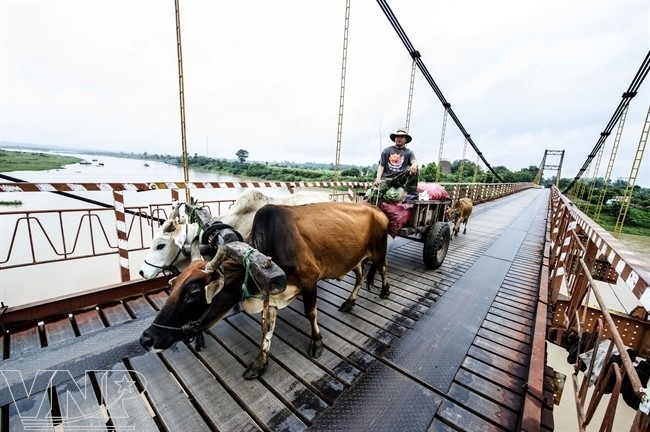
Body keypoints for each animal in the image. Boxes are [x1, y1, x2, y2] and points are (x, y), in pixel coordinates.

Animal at [139, 202, 388, 378]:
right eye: (173, 286)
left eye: (192, 294)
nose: (147, 339)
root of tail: (375, 208)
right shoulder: (273, 294)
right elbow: (267, 327)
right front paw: (260, 362)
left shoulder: (310, 281)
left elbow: (311, 313)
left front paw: (317, 343)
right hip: (355, 256)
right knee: (360, 275)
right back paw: (349, 302)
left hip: (378, 251)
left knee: (383, 269)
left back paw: (384, 291)